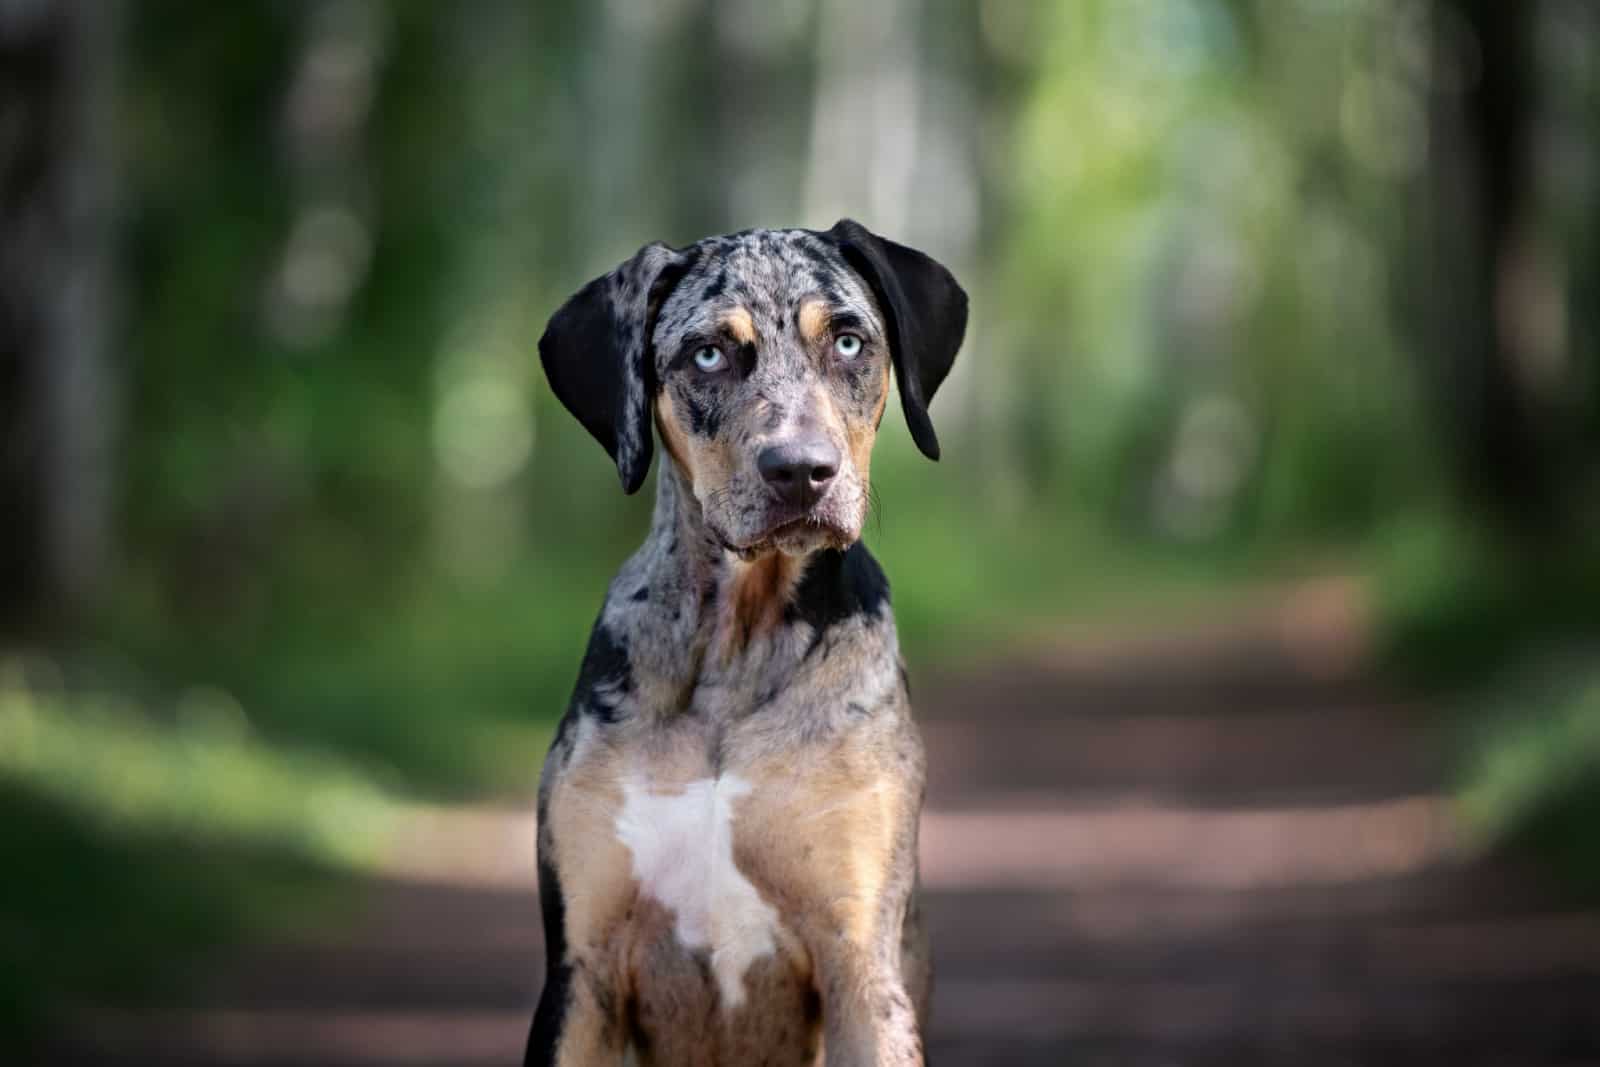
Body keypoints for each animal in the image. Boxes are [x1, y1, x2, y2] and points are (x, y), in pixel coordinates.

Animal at [531, 219, 966, 1067]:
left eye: (849, 341)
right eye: (707, 354)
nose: (801, 471)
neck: (735, 645)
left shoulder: (860, 960)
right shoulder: (582, 970)